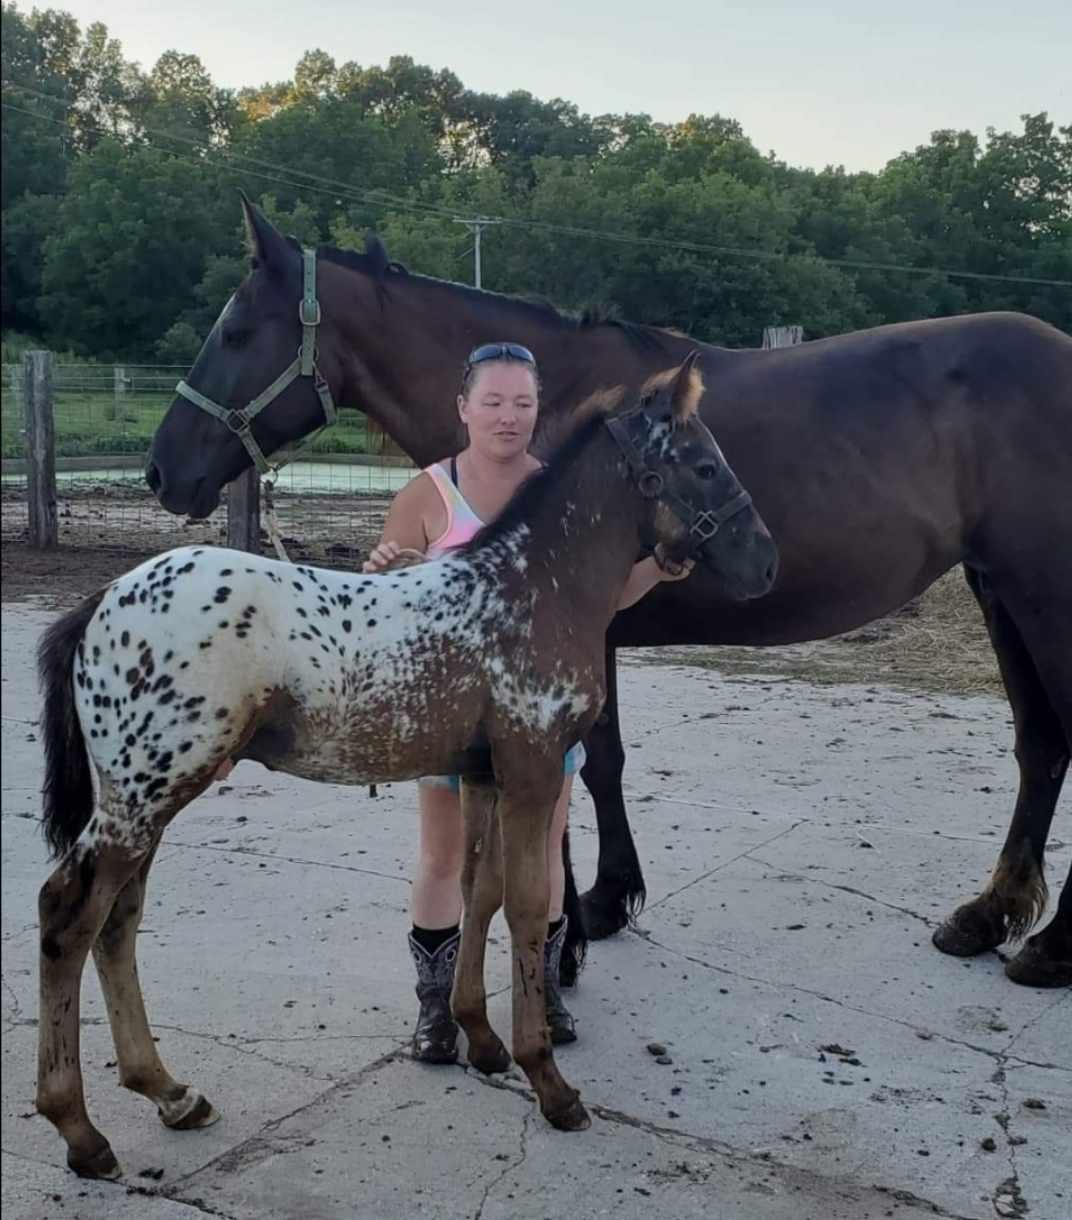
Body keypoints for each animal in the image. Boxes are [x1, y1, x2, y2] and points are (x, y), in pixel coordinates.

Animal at [35, 355, 778, 1178]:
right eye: (704, 465)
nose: (765, 562)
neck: (531, 589)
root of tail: (102, 601)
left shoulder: (485, 774)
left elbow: (479, 895)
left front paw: (480, 1041)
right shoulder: (532, 767)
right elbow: (526, 907)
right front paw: (549, 1082)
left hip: (149, 796)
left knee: (118, 921)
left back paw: (170, 1094)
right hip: (143, 794)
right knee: (67, 915)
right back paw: (81, 1132)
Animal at [147, 199, 1072, 988]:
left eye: (236, 331)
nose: (163, 471)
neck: (560, 409)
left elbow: (585, 765)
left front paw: (573, 926)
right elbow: (604, 764)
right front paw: (606, 899)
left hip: (1043, 595)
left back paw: (1052, 947)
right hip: (999, 592)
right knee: (1041, 748)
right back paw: (988, 916)